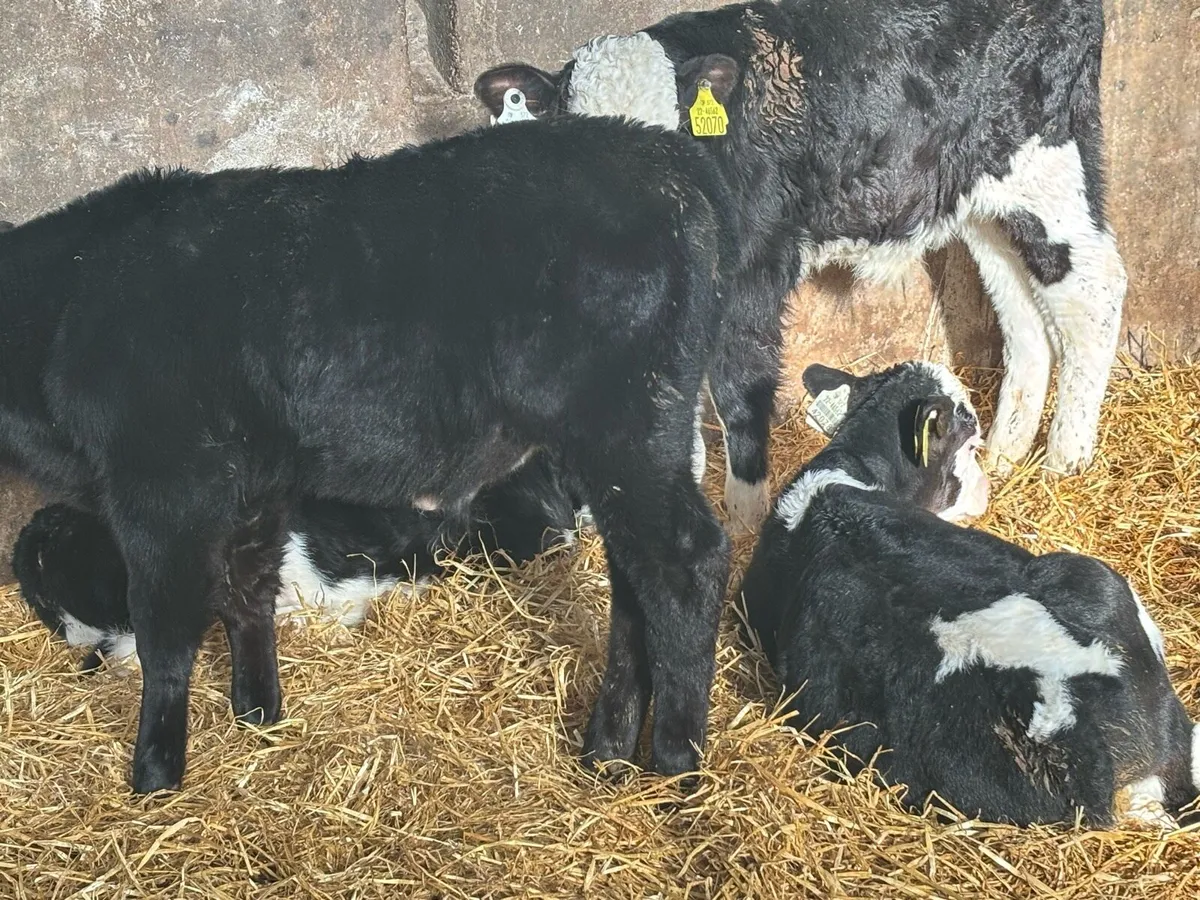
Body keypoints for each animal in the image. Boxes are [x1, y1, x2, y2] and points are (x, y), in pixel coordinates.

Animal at [0, 115, 734, 793]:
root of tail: (662, 156)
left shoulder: (162, 485)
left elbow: (164, 632)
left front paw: (155, 772)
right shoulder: (256, 482)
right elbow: (248, 591)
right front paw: (257, 715)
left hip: (625, 427)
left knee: (686, 565)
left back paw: (677, 768)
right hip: (628, 446)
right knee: (636, 579)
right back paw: (607, 751)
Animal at [475, 0, 1127, 530]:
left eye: (674, 130)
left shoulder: (753, 273)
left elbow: (739, 390)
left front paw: (744, 514)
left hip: (1050, 169)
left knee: (1094, 287)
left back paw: (1065, 464)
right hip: (980, 197)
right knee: (1022, 308)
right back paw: (1008, 450)